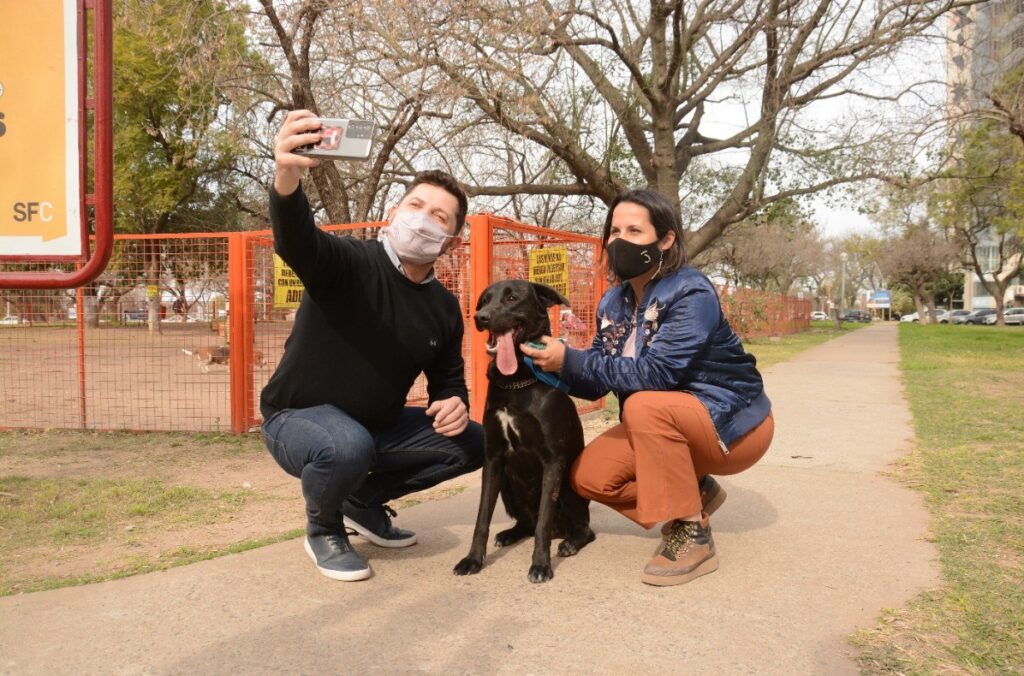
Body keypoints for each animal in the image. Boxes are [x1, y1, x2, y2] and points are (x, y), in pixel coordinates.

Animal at [452, 280, 598, 581]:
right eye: (484, 300)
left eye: (512, 298)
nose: (481, 317)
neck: (516, 382)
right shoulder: (494, 458)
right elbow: (482, 518)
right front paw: (473, 560)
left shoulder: (553, 460)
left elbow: (543, 521)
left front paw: (541, 565)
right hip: (507, 485)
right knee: (527, 524)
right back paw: (509, 534)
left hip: (568, 484)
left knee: (580, 527)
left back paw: (570, 543)